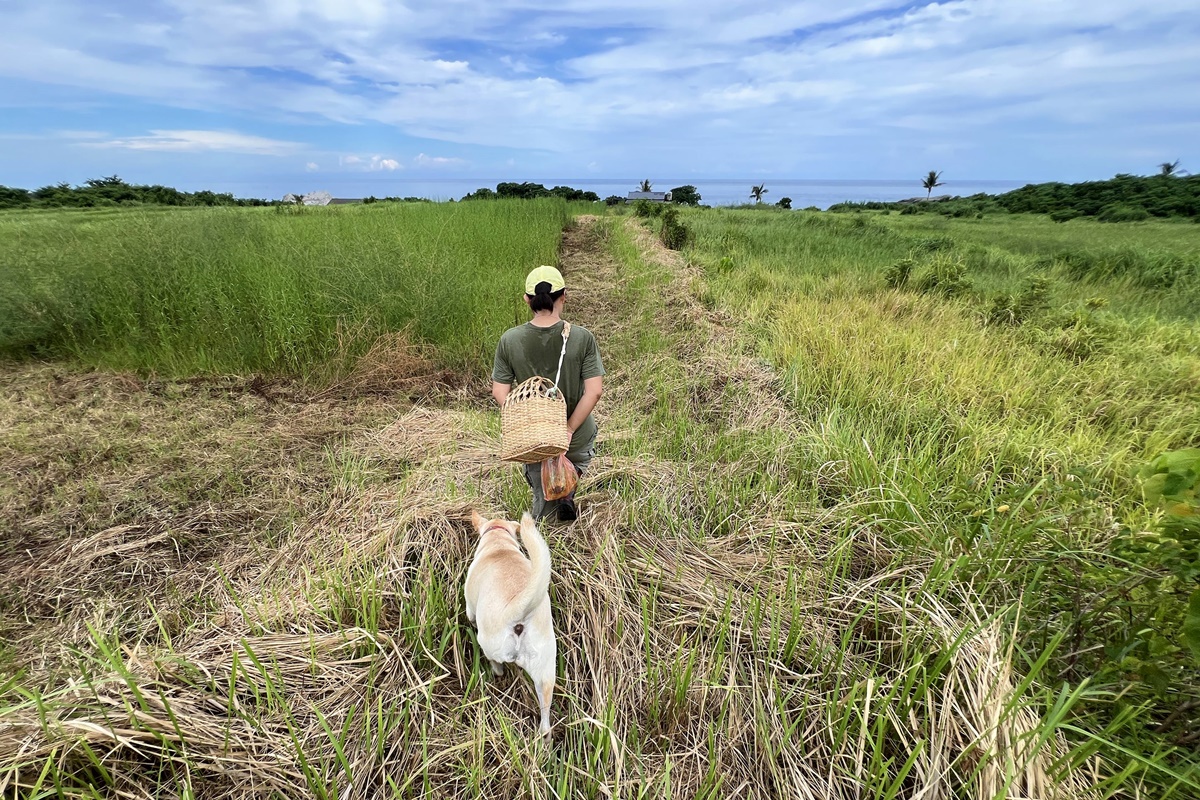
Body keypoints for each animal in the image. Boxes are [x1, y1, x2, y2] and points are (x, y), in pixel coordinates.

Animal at [463, 513, 556, 738]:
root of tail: (519, 611)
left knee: (497, 666)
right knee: (545, 724)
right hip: (545, 674)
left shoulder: (469, 605)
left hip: (489, 644)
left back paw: (494, 673)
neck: (499, 544)